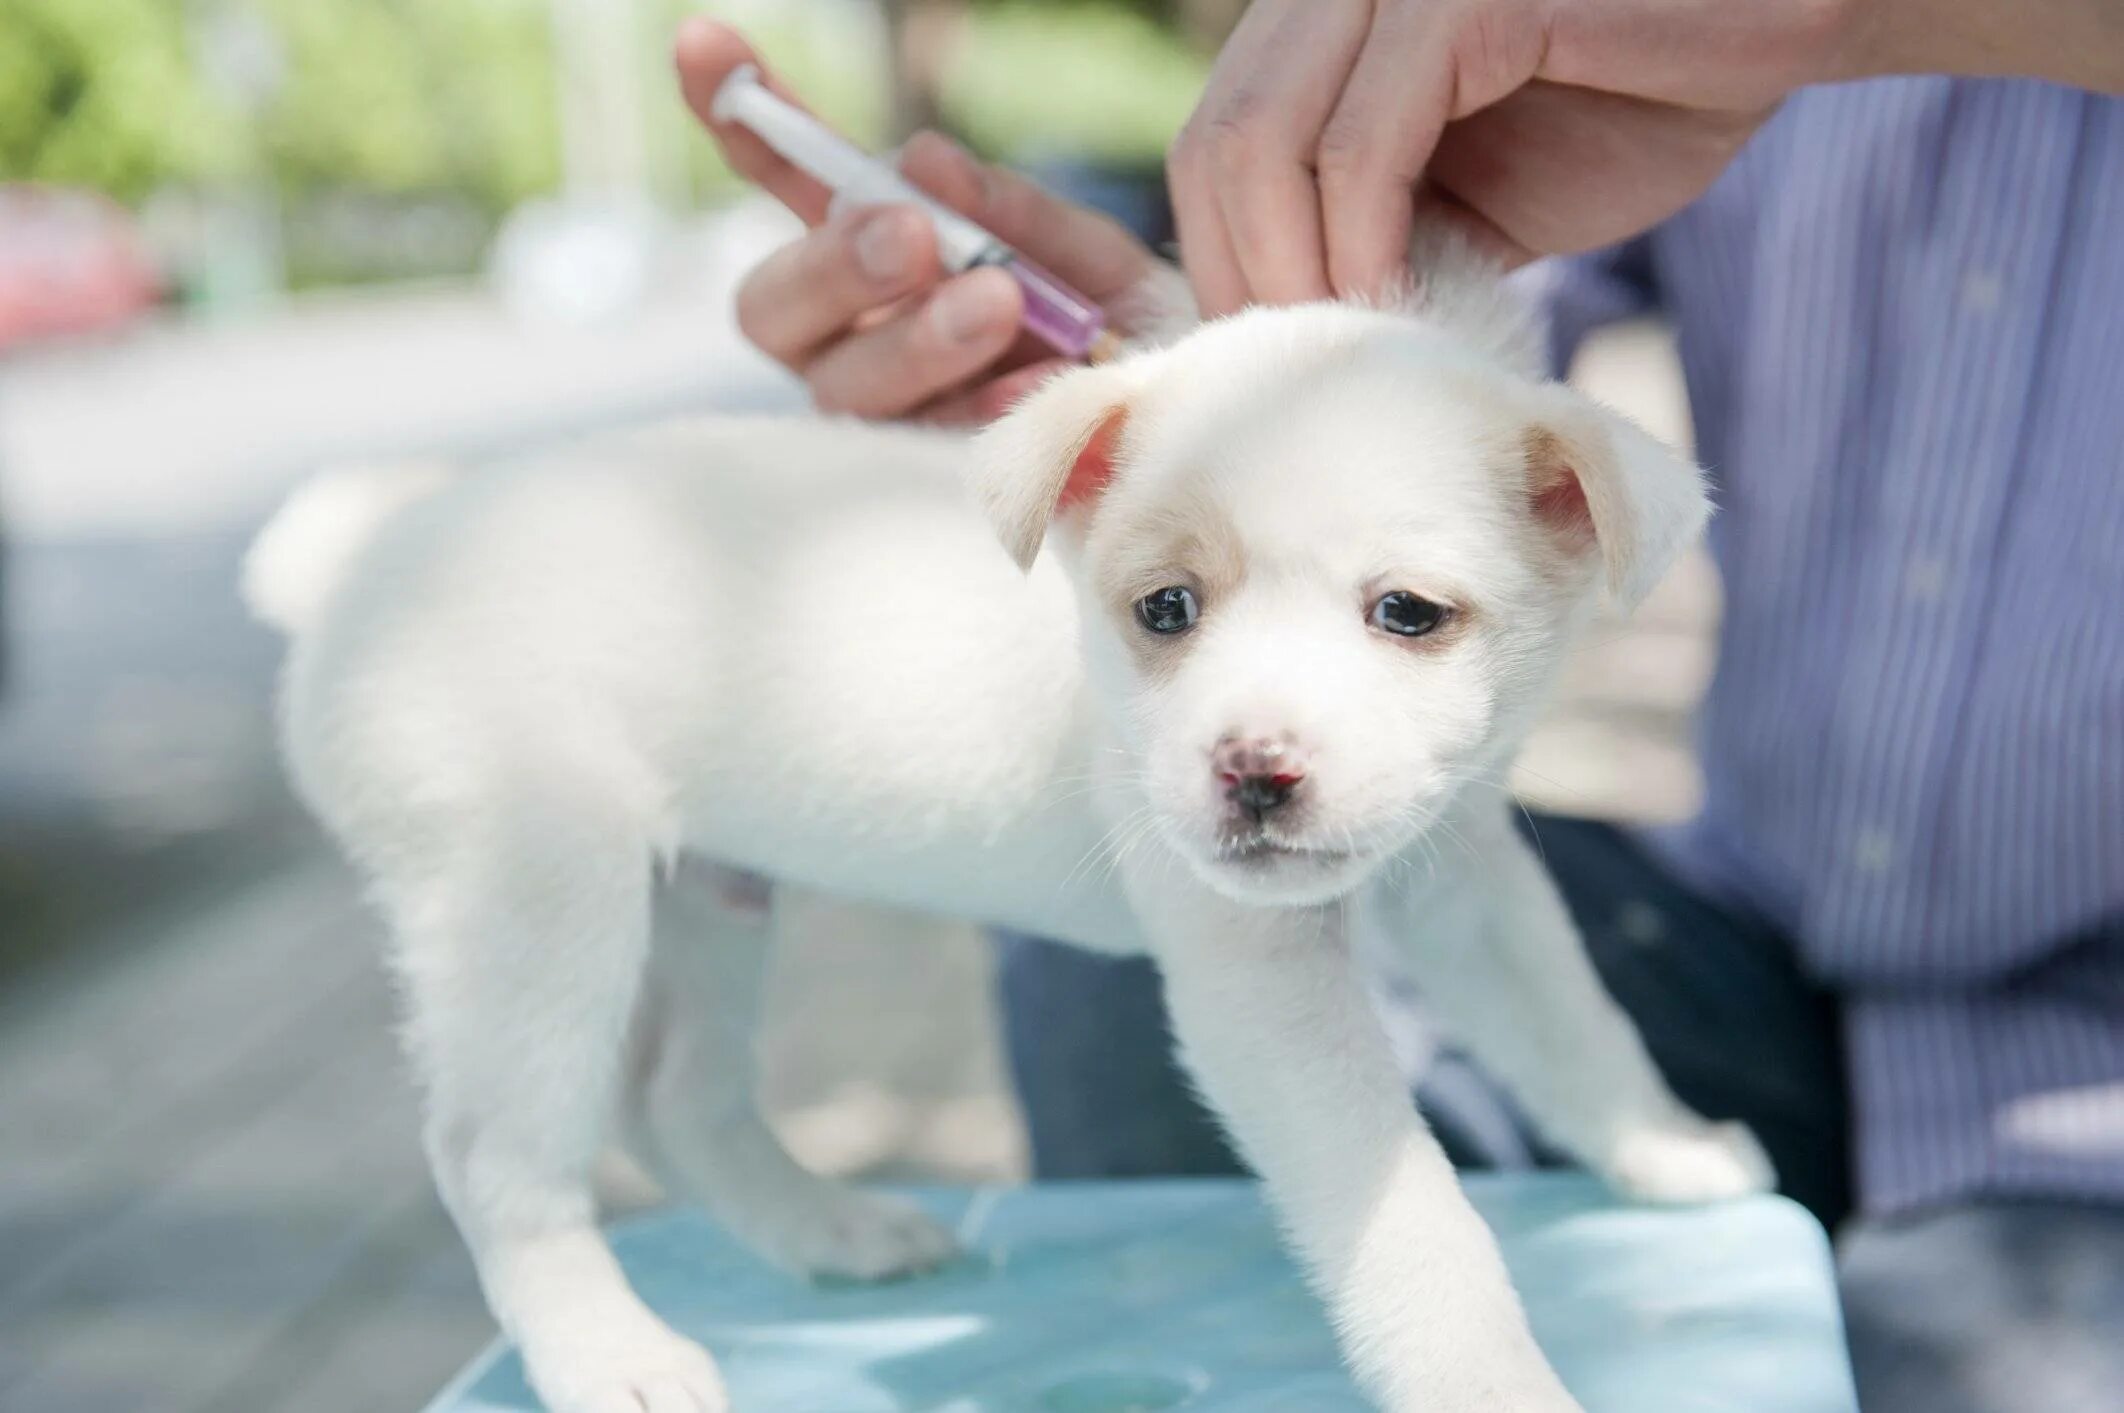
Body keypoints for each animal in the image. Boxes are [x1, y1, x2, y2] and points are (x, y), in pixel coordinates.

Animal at [248, 253, 1767, 1410]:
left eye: (1407, 614)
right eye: (1165, 609)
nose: (1251, 773)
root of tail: (363, 568)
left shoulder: (1469, 887)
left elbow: (1574, 1026)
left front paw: (1665, 1146)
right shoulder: (1264, 991)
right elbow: (1418, 1223)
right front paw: (1495, 1385)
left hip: (706, 900)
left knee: (678, 1101)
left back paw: (836, 1231)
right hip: (535, 900)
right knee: (495, 1160)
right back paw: (610, 1356)